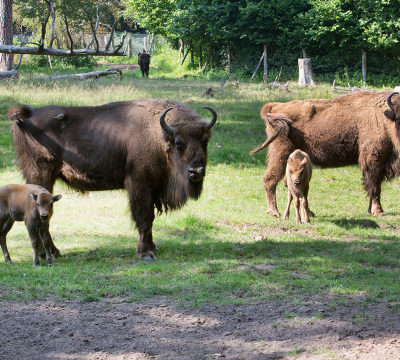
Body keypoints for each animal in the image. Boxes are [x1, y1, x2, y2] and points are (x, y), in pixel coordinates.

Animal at [7, 100, 217, 260]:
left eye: (205, 141)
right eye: (178, 143)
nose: (196, 171)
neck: (159, 135)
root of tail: (23, 118)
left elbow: (150, 220)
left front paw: (152, 246)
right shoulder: (139, 186)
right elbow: (144, 218)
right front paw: (145, 254)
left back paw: (54, 253)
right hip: (41, 176)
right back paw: (49, 254)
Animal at [250, 90, 400, 217]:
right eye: (398, 118)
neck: (384, 119)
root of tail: (276, 106)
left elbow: (372, 186)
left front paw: (372, 210)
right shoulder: (373, 160)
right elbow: (375, 187)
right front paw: (378, 211)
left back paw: (309, 213)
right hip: (281, 154)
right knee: (270, 179)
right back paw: (274, 212)